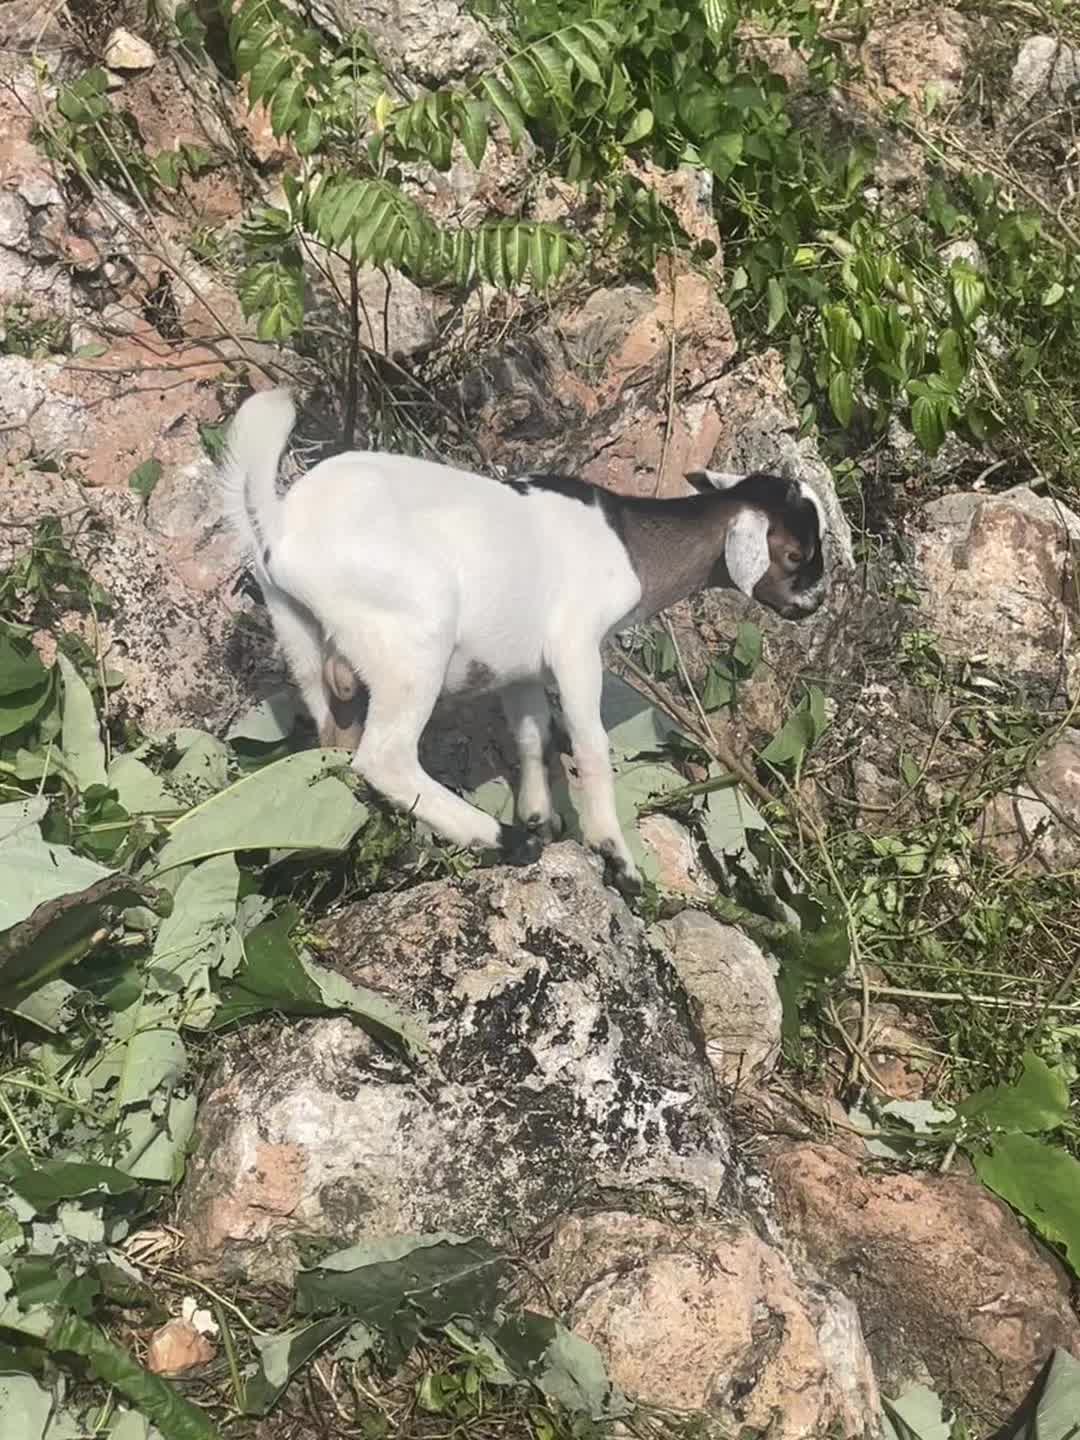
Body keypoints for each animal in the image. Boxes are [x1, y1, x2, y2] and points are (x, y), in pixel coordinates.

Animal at [223, 388, 829, 892]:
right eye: (795, 553)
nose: (815, 604)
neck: (628, 542)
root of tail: (281, 529)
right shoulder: (575, 645)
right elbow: (590, 745)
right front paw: (616, 858)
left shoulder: (520, 663)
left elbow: (532, 733)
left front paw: (540, 815)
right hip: (414, 636)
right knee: (384, 758)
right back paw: (501, 841)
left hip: (307, 646)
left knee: (336, 742)